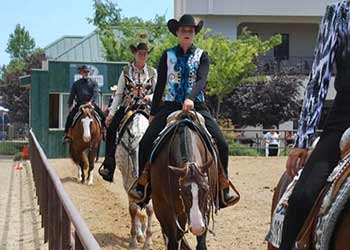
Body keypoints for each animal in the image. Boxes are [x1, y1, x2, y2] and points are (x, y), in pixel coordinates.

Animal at [151, 113, 219, 250]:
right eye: (182, 191)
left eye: (205, 189)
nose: (197, 227)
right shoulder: (163, 209)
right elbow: (172, 242)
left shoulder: (206, 206)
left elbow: (201, 243)